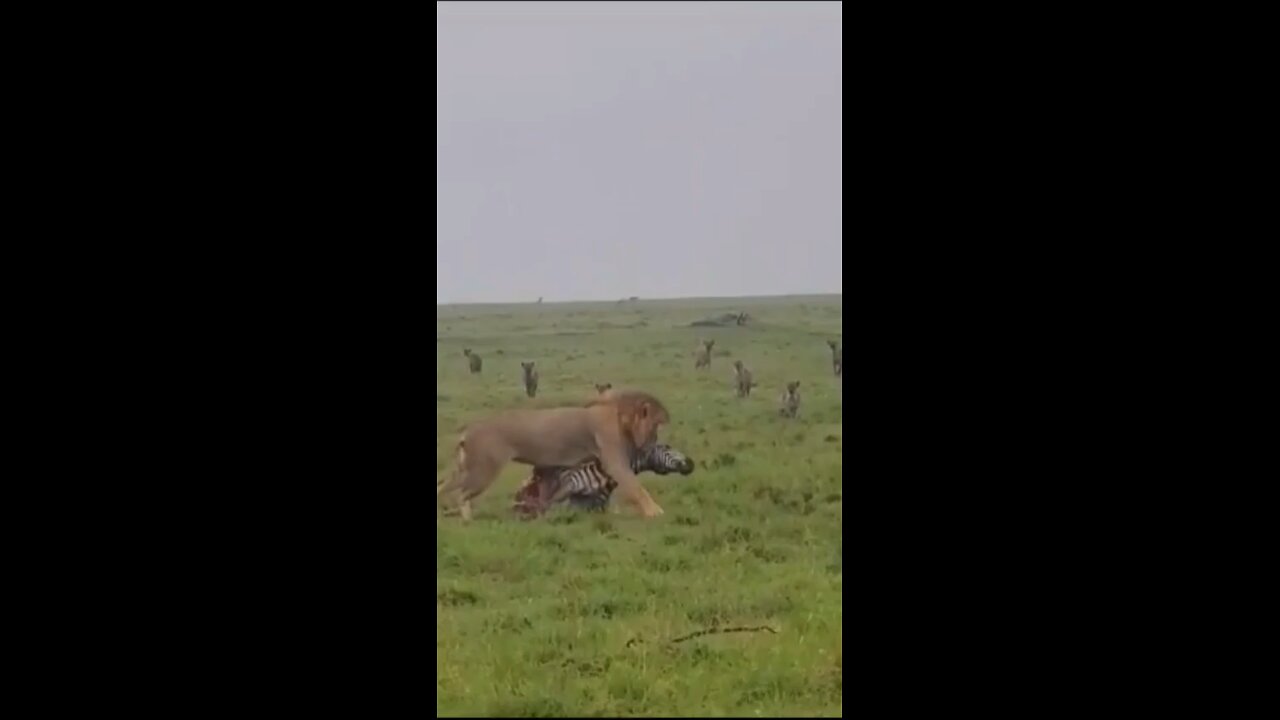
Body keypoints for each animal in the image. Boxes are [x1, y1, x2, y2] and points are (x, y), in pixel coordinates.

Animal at [437, 389, 665, 517]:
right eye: (656, 425)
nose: (656, 440)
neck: (620, 415)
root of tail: (467, 432)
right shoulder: (614, 459)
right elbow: (636, 487)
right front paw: (654, 512)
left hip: (467, 469)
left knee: (442, 485)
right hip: (483, 470)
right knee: (461, 495)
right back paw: (467, 520)